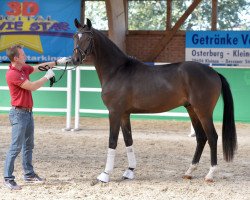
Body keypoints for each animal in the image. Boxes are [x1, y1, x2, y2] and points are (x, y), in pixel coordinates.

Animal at [72, 18, 236, 183]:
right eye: (75, 37)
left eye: (88, 38)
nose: (75, 60)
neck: (117, 70)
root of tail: (214, 72)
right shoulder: (124, 114)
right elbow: (128, 140)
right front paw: (130, 171)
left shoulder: (114, 112)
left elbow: (112, 140)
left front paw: (105, 174)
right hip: (192, 110)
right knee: (201, 138)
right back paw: (189, 171)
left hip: (203, 111)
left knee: (212, 137)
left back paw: (210, 174)